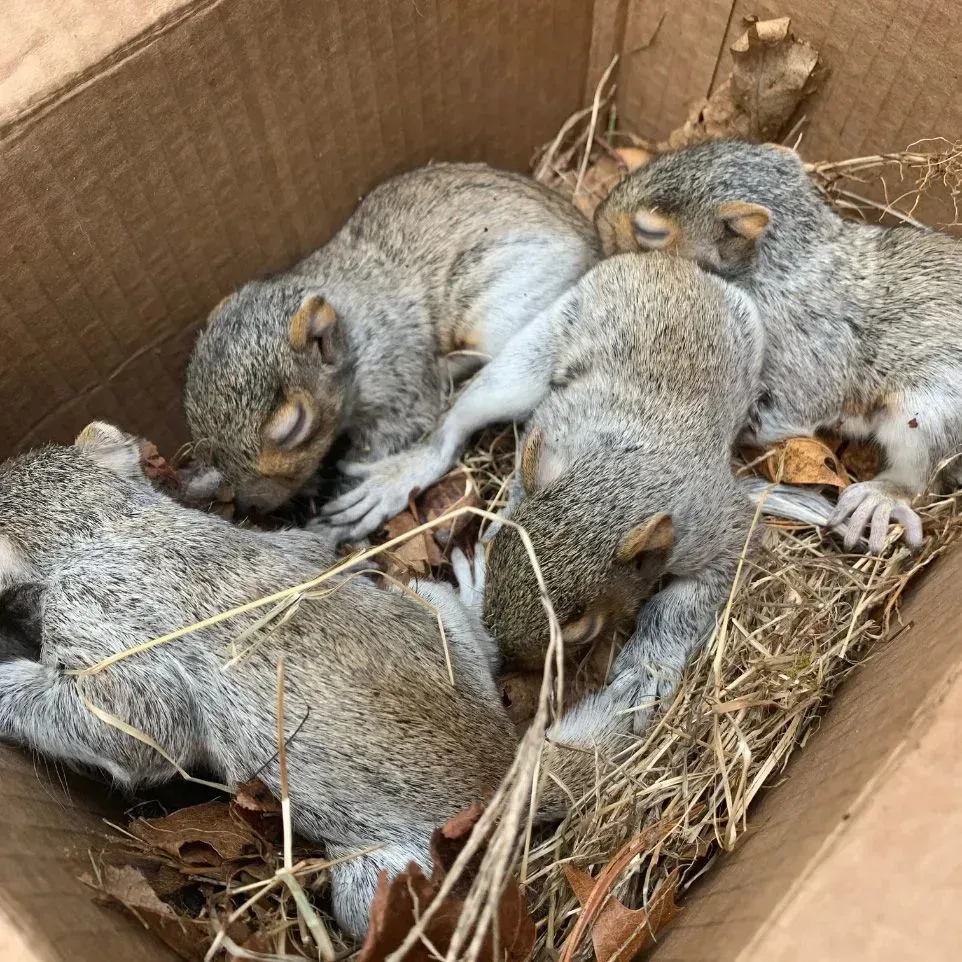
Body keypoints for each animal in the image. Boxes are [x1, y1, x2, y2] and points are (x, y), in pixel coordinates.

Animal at [0, 422, 631, 938]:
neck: (107, 521)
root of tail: (508, 759)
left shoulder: (101, 614)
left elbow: (137, 727)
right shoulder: (280, 543)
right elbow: (307, 545)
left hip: (384, 873)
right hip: (426, 604)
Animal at [183, 161, 600, 515]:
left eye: (293, 427)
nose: (251, 506)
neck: (353, 332)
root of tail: (593, 240)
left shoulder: (396, 370)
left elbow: (400, 428)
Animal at [594, 138, 962, 553]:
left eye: (650, 232)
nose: (597, 219)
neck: (783, 265)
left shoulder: (803, 345)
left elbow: (789, 410)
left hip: (930, 412)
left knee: (922, 478)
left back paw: (881, 497)